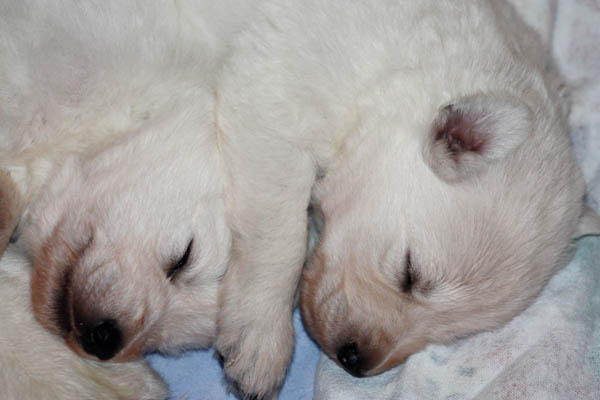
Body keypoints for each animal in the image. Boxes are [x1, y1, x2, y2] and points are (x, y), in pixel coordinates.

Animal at [214, 0, 600, 397]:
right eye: (410, 273)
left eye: (455, 332)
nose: (355, 361)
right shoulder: (273, 94)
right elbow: (279, 235)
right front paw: (262, 339)